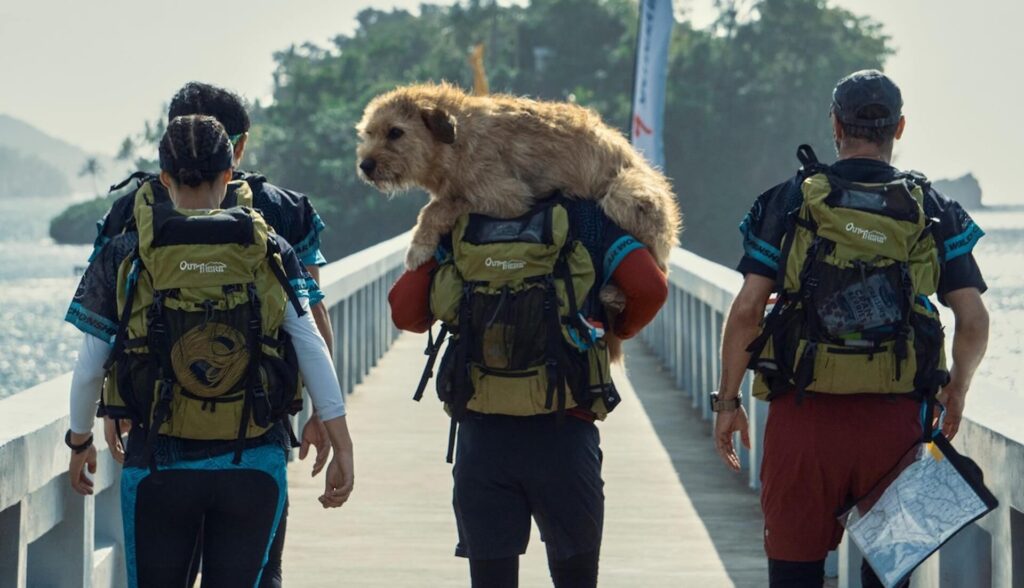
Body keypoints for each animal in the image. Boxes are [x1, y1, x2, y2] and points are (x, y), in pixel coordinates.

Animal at [352, 82, 679, 274]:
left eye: (395, 132)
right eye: (368, 133)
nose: (365, 165)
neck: (456, 139)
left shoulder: (506, 196)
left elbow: (436, 208)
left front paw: (417, 248)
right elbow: (440, 203)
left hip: (624, 194)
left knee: (659, 262)